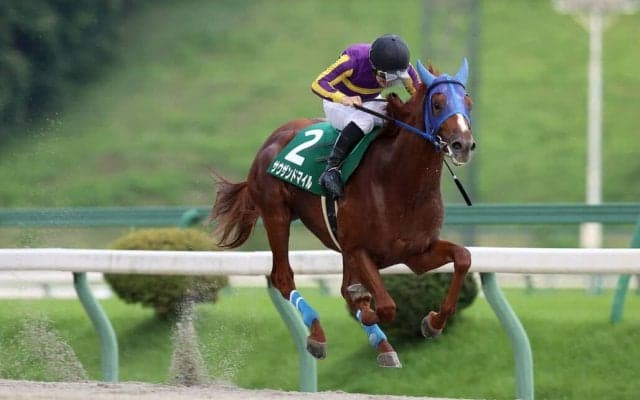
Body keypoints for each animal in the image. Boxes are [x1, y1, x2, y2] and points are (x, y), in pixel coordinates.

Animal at [210, 59, 476, 368]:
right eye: (437, 103)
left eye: (468, 102)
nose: (463, 145)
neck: (397, 182)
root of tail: (274, 137)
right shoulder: (358, 248)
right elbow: (384, 306)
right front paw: (368, 307)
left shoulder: (416, 254)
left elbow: (463, 257)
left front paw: (433, 322)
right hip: (276, 215)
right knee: (283, 277)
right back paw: (317, 335)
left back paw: (383, 345)